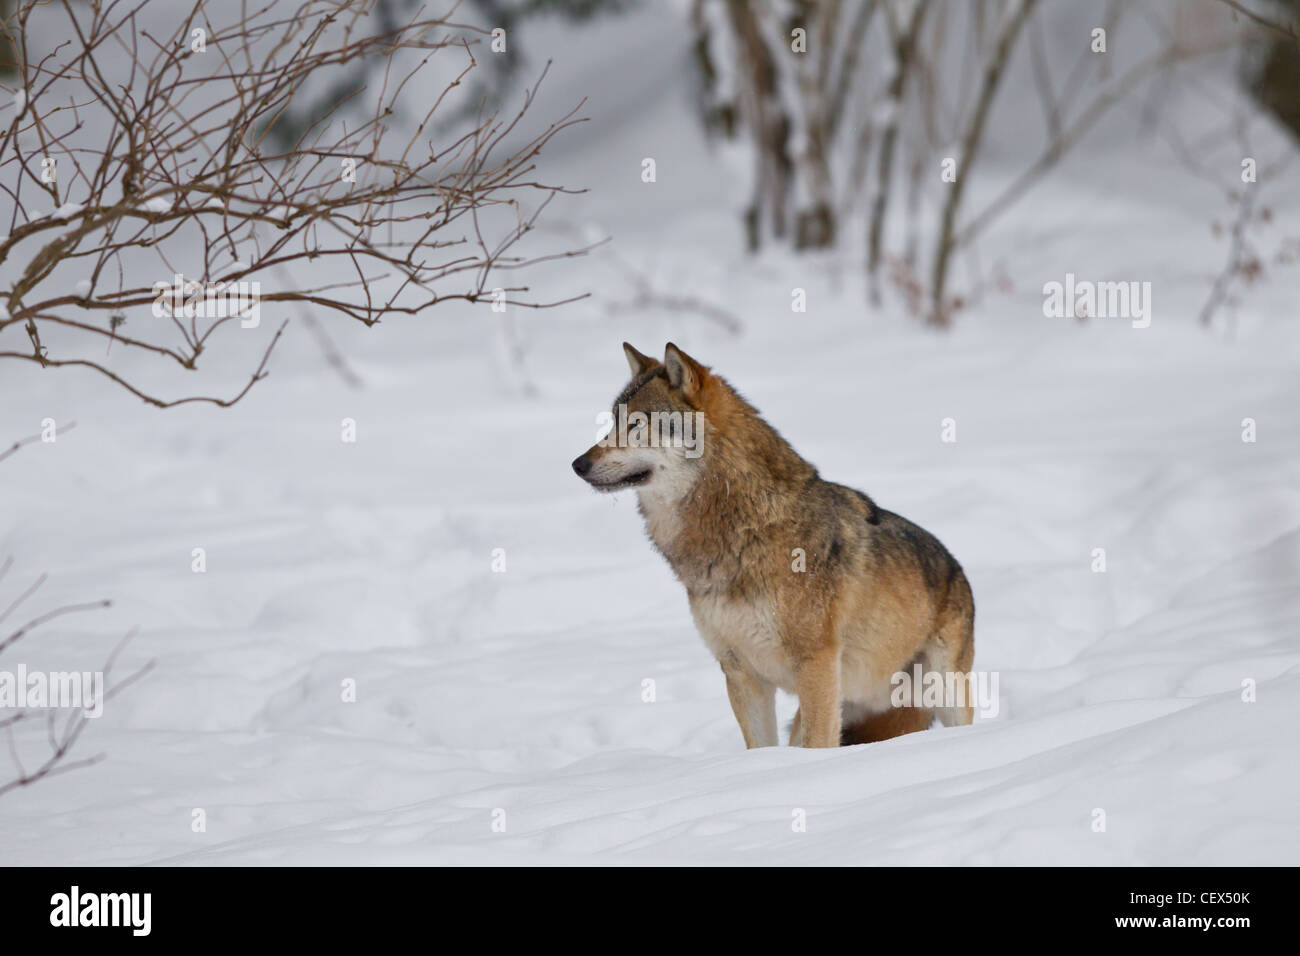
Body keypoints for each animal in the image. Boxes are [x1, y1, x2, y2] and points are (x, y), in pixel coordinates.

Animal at [572, 343, 977, 749]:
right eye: (612, 423)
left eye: (636, 424)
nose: (577, 464)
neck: (743, 523)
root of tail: (956, 567)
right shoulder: (739, 671)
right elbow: (761, 747)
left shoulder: (815, 664)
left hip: (941, 691)